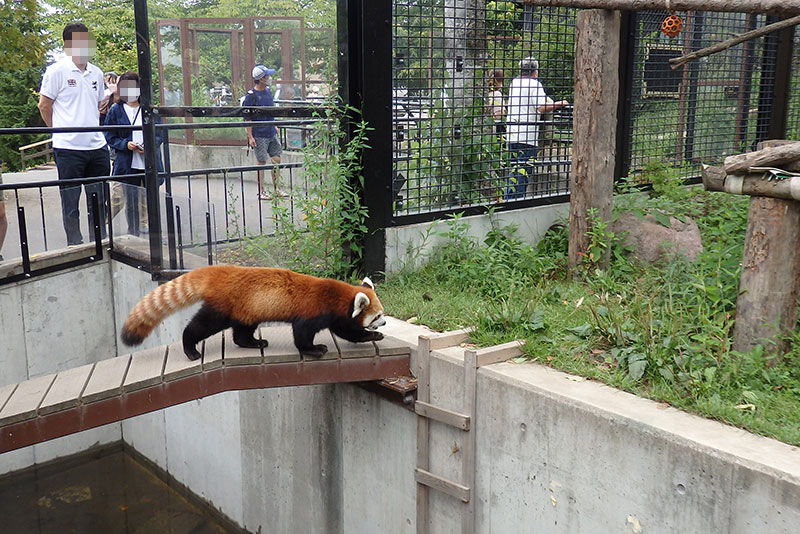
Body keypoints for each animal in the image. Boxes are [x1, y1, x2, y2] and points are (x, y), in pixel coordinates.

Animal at [119, 266, 390, 362]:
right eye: (377, 316)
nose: (385, 323)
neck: (335, 294)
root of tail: (219, 271)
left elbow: (347, 331)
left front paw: (371, 336)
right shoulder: (313, 311)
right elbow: (303, 334)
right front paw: (314, 349)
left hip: (247, 310)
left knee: (241, 331)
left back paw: (253, 342)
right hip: (223, 307)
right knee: (200, 326)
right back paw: (190, 348)